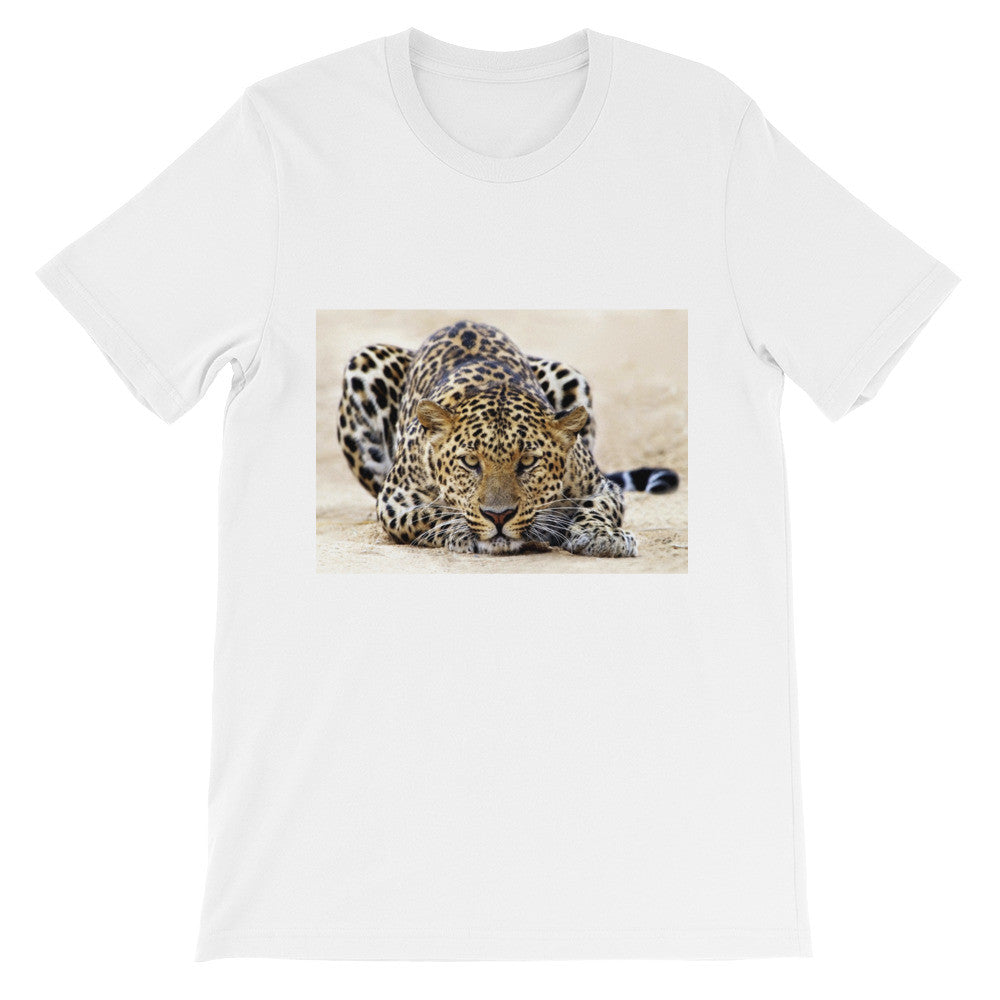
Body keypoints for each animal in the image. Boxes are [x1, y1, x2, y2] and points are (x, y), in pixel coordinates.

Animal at [336, 321, 678, 557]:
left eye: (527, 462)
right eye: (470, 462)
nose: (498, 516)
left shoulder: (601, 486)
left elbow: (597, 507)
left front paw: (602, 536)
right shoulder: (394, 501)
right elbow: (432, 513)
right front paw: (462, 531)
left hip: (568, 374)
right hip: (364, 363)